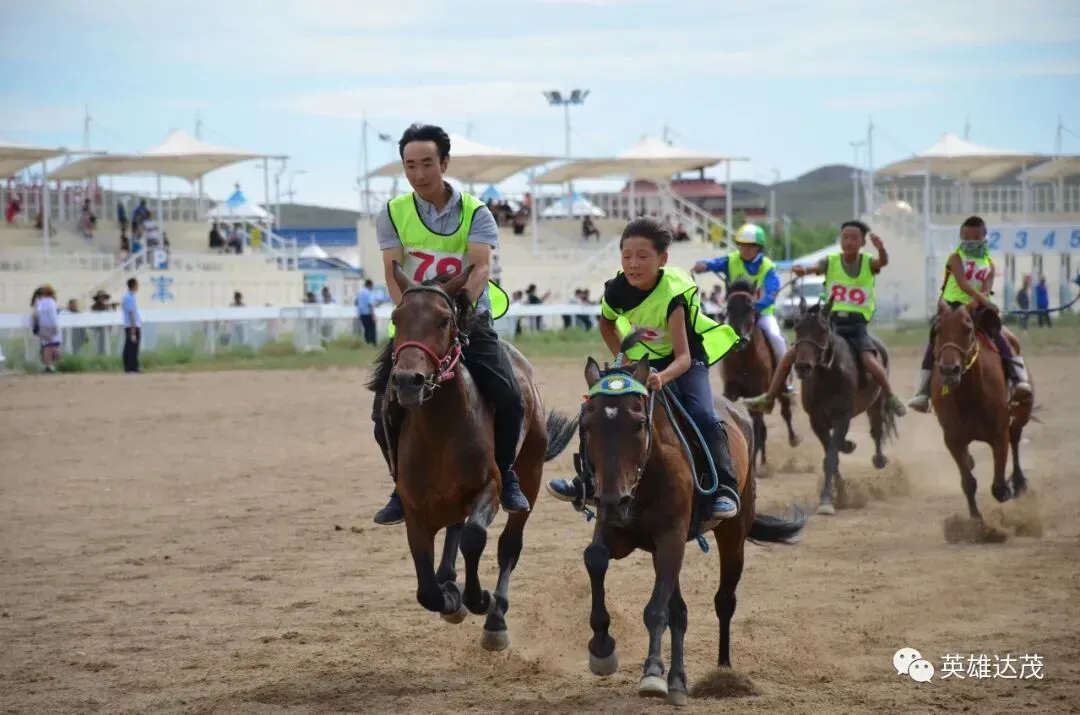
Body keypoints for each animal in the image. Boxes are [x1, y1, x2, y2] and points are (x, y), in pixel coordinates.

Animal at [367, 263, 578, 650]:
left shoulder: (489, 488)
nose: (407, 381)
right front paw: (450, 598)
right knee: (454, 528)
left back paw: (495, 619)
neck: (441, 429)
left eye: (443, 320)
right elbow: (425, 587)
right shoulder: (415, 508)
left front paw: (478, 598)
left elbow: (475, 537)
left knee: (509, 544)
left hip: (530, 473)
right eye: (395, 317)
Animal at [578, 329, 807, 705]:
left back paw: (722, 673)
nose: (612, 499)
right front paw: (602, 648)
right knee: (680, 612)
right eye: (587, 423)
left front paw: (653, 673)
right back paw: (678, 680)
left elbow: (656, 610)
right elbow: (595, 558)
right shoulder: (619, 529)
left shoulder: (671, 537)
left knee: (724, 601)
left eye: (638, 424)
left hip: (733, 533)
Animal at [721, 276, 801, 471]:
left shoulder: (759, 392)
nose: (739, 339)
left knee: (785, 413)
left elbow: (758, 427)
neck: (744, 359)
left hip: (780, 390)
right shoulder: (732, 388)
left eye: (750, 307)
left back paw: (791, 440)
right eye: (729, 307)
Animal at [790, 297, 898, 515]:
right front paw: (838, 494)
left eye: (822, 330)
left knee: (877, 429)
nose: (803, 367)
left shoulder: (842, 416)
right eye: (797, 328)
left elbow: (831, 457)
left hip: (877, 402)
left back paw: (879, 458)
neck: (828, 374)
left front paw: (827, 500)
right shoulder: (817, 421)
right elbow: (831, 455)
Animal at [929, 303, 1032, 520]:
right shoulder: (953, 439)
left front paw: (1009, 489)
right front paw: (976, 520)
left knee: (1015, 438)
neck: (969, 397)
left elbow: (999, 488)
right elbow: (968, 482)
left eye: (968, 329)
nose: (949, 370)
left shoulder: (999, 434)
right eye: (938, 330)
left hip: (1022, 412)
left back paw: (1019, 482)